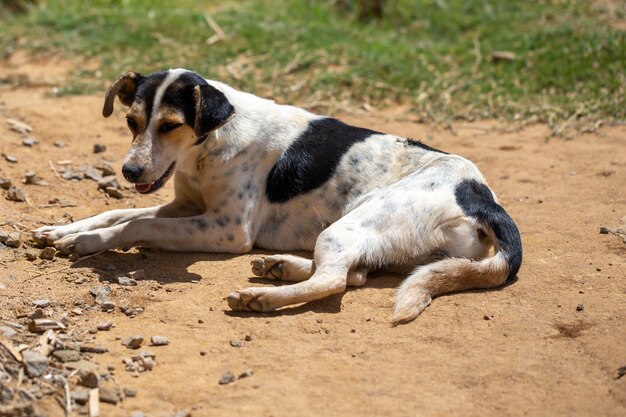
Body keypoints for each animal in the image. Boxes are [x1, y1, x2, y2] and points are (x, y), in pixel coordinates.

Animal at [31, 68, 520, 324]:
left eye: (170, 125)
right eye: (132, 122)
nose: (129, 171)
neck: (210, 143)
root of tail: (483, 196)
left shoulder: (228, 230)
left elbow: (136, 222)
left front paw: (86, 242)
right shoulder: (185, 205)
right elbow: (117, 211)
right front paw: (64, 230)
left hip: (357, 220)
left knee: (335, 280)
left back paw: (262, 299)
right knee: (356, 273)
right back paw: (278, 267)